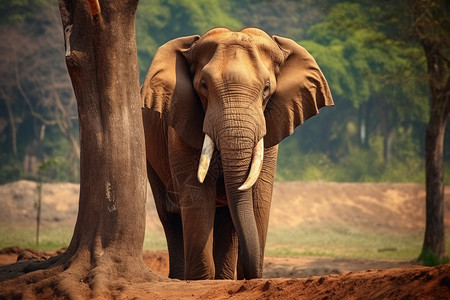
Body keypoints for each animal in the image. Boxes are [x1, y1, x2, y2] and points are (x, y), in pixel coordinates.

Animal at [141, 27, 334, 280]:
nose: (249, 273)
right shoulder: (180, 121)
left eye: (266, 88)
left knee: (225, 218)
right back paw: (180, 278)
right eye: (203, 86)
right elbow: (197, 194)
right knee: (170, 215)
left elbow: (259, 197)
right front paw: (200, 281)